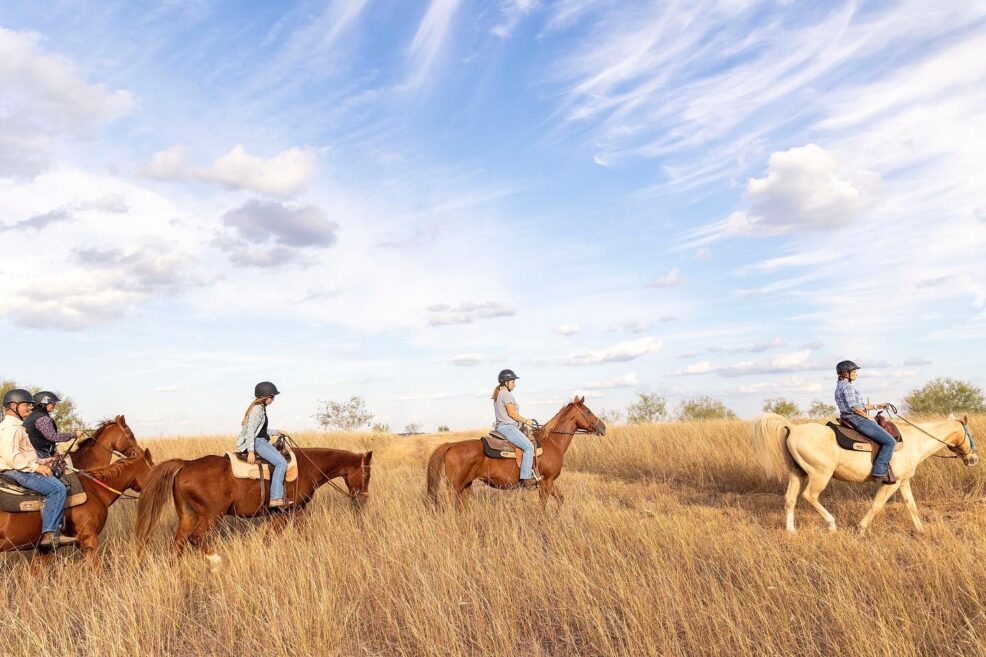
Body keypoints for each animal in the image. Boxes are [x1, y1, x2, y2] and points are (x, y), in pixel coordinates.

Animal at [135, 446, 372, 564]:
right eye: (367, 474)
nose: (363, 498)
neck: (307, 466)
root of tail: (185, 464)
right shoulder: (287, 512)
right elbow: (275, 536)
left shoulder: (293, 512)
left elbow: (293, 534)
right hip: (212, 515)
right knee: (196, 538)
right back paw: (216, 561)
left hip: (187, 515)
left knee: (177, 545)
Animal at [426, 394, 604, 508]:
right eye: (588, 411)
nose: (603, 427)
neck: (552, 442)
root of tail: (451, 445)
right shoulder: (546, 482)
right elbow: (542, 507)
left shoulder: (549, 481)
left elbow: (560, 499)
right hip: (455, 486)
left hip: (466, 485)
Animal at [752, 416, 976, 532]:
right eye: (970, 434)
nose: (973, 459)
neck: (914, 440)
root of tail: (793, 428)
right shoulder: (891, 483)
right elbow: (877, 505)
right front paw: (861, 528)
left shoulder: (903, 482)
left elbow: (911, 506)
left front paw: (921, 530)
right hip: (820, 475)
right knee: (809, 496)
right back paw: (831, 524)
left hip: (797, 474)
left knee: (790, 499)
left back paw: (791, 531)